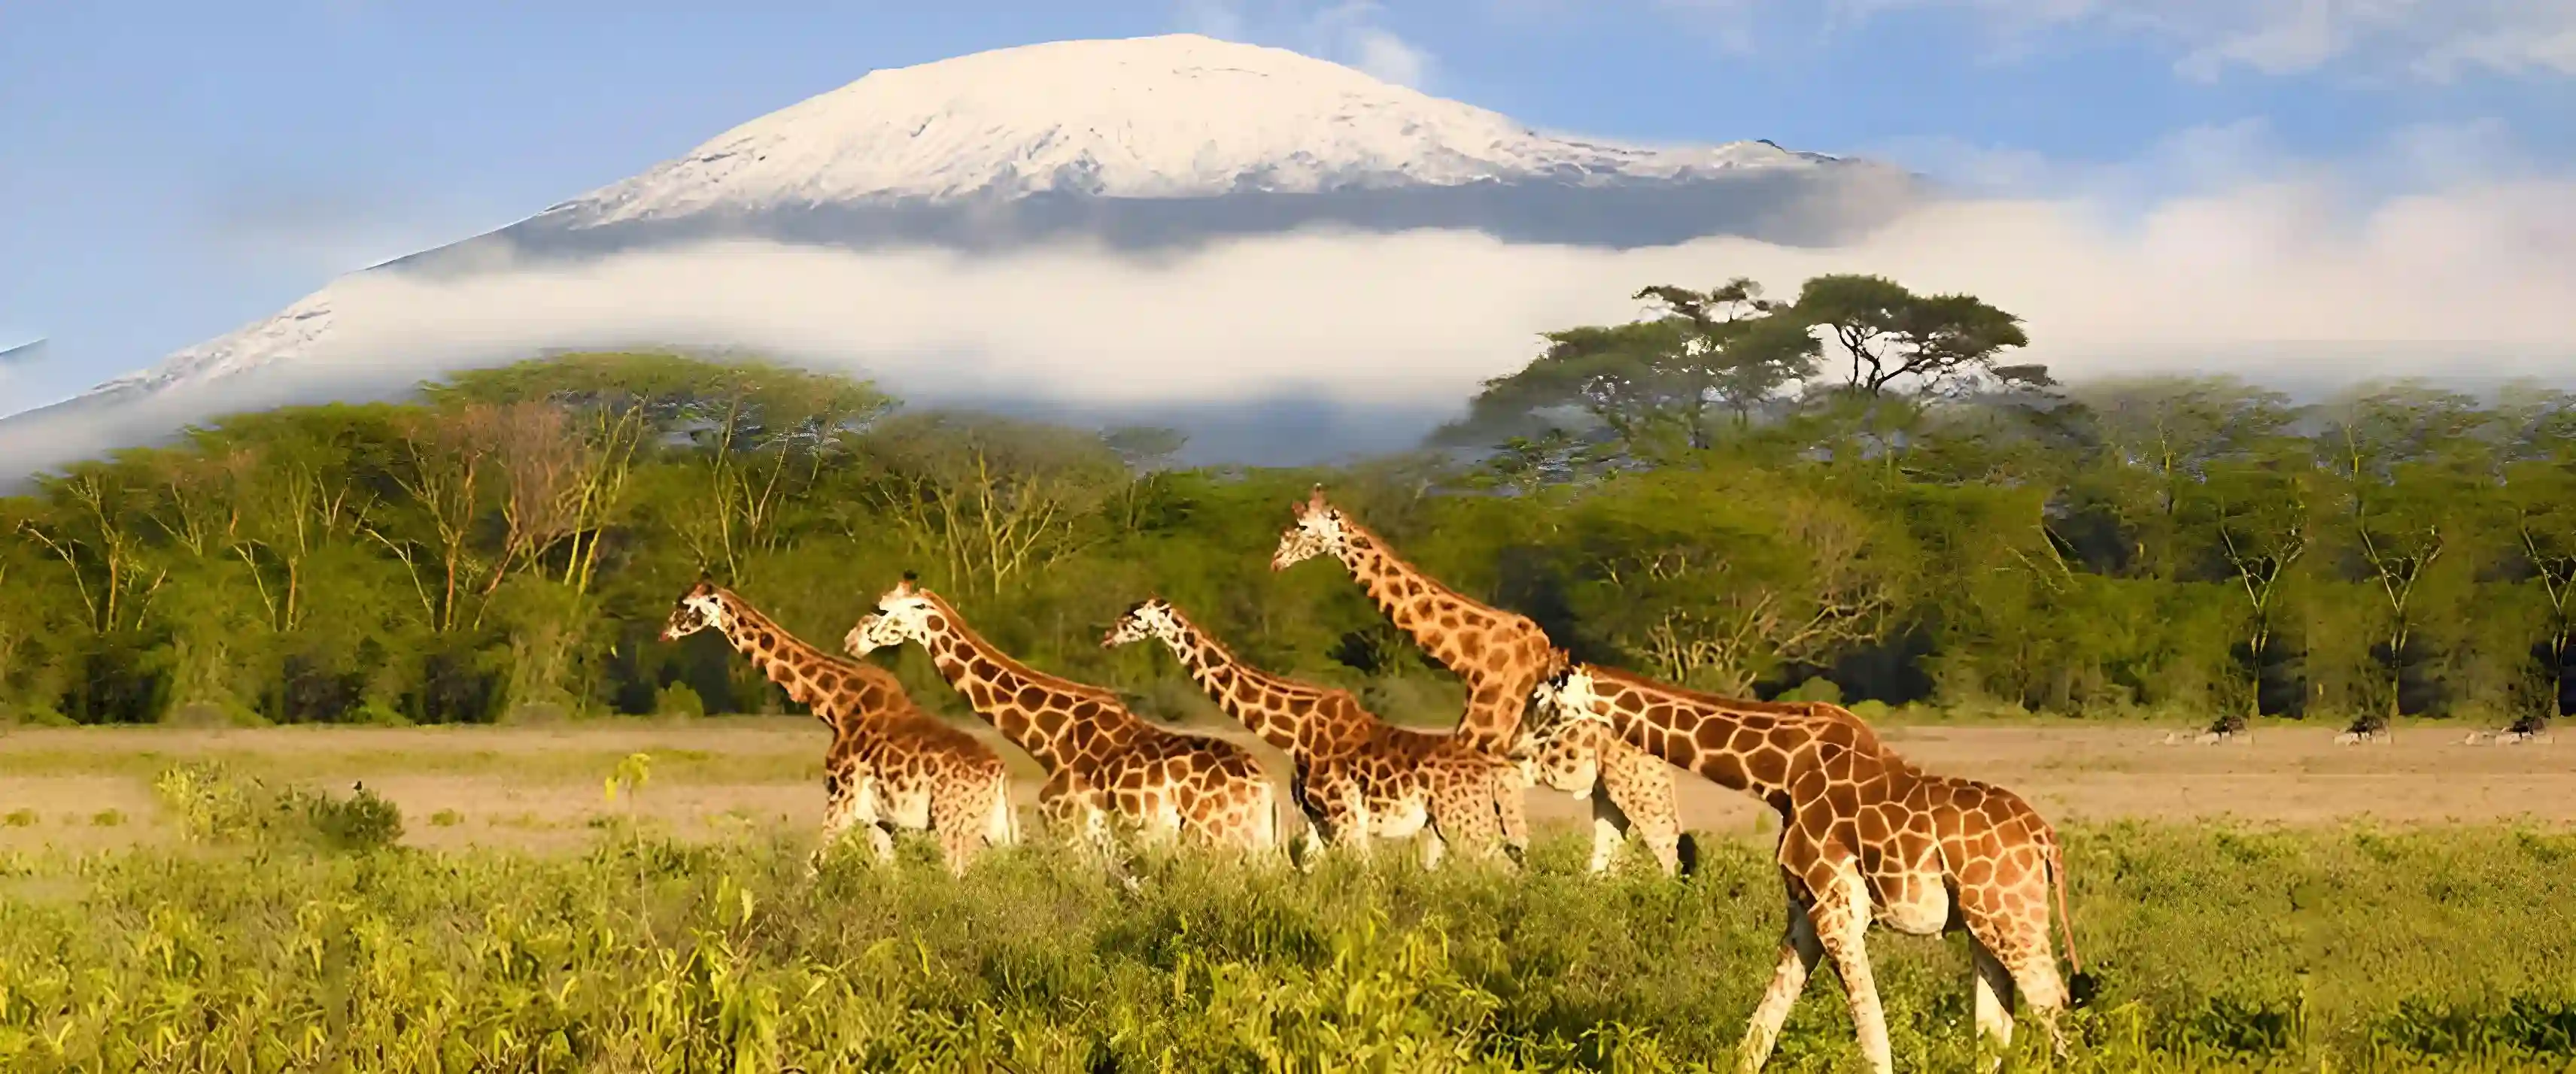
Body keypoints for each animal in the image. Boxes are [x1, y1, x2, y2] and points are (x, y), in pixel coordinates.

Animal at [654, 577, 1015, 870]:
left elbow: (813, 865)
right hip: (993, 831)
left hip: (953, 826)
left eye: (685, 605)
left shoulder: (841, 799)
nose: (664, 632)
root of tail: (999, 775)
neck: (833, 705)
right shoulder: (879, 820)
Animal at [845, 574, 1277, 860]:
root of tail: (1264, 786)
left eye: (881, 609)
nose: (852, 641)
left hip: (1217, 838)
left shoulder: (1068, 828)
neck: (1050, 739)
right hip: (1255, 845)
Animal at [1102, 595, 1525, 870]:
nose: (1108, 636)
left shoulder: (1343, 819)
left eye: (1136, 617)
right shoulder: (1319, 820)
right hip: (1450, 824)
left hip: (1465, 822)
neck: (1296, 729)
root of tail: (1498, 773)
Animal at [1272, 484, 1690, 870]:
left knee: (1666, 849)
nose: (1276, 561)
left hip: (1636, 782)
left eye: (1303, 526)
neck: (1472, 658)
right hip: (1607, 788)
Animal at [1514, 654, 2081, 1071]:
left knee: (2057, 1014)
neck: (1781, 773)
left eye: (1540, 700)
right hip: (1984, 926)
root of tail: (2045, 839)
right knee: (1997, 1031)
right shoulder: (1804, 911)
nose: (1514, 745)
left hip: (2011, 917)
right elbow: (1760, 1032)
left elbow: (1873, 1037)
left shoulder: (1838, 909)